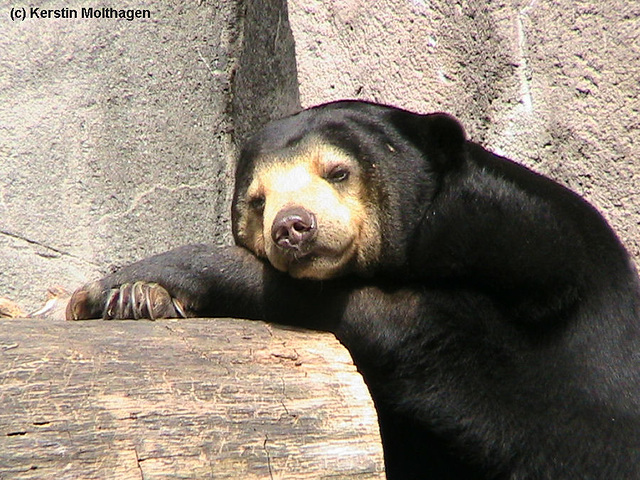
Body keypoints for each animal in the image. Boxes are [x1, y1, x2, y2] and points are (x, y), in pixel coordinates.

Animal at [66, 99, 640, 478]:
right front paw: (136, 296)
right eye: (257, 200)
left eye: (338, 171)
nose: (292, 227)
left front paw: (117, 285)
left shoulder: (534, 261)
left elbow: (416, 329)